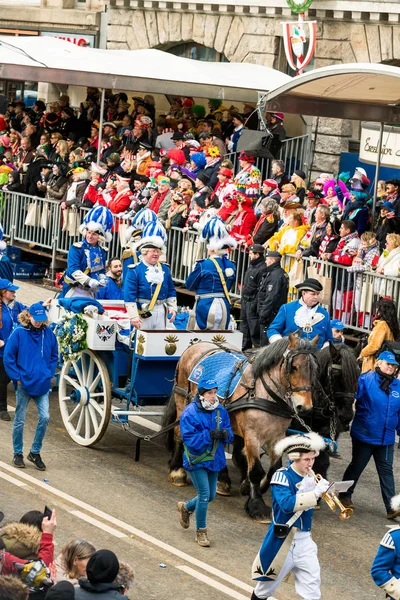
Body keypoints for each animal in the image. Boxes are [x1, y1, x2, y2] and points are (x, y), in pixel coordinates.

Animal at [162, 332, 318, 520]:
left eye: (313, 370)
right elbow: (256, 470)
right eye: (294, 367)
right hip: (182, 399)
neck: (263, 393)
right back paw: (177, 470)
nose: (305, 407)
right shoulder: (252, 435)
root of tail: (196, 344)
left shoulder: (276, 437)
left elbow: (273, 468)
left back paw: (222, 480)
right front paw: (257, 505)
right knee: (179, 432)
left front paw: (258, 486)